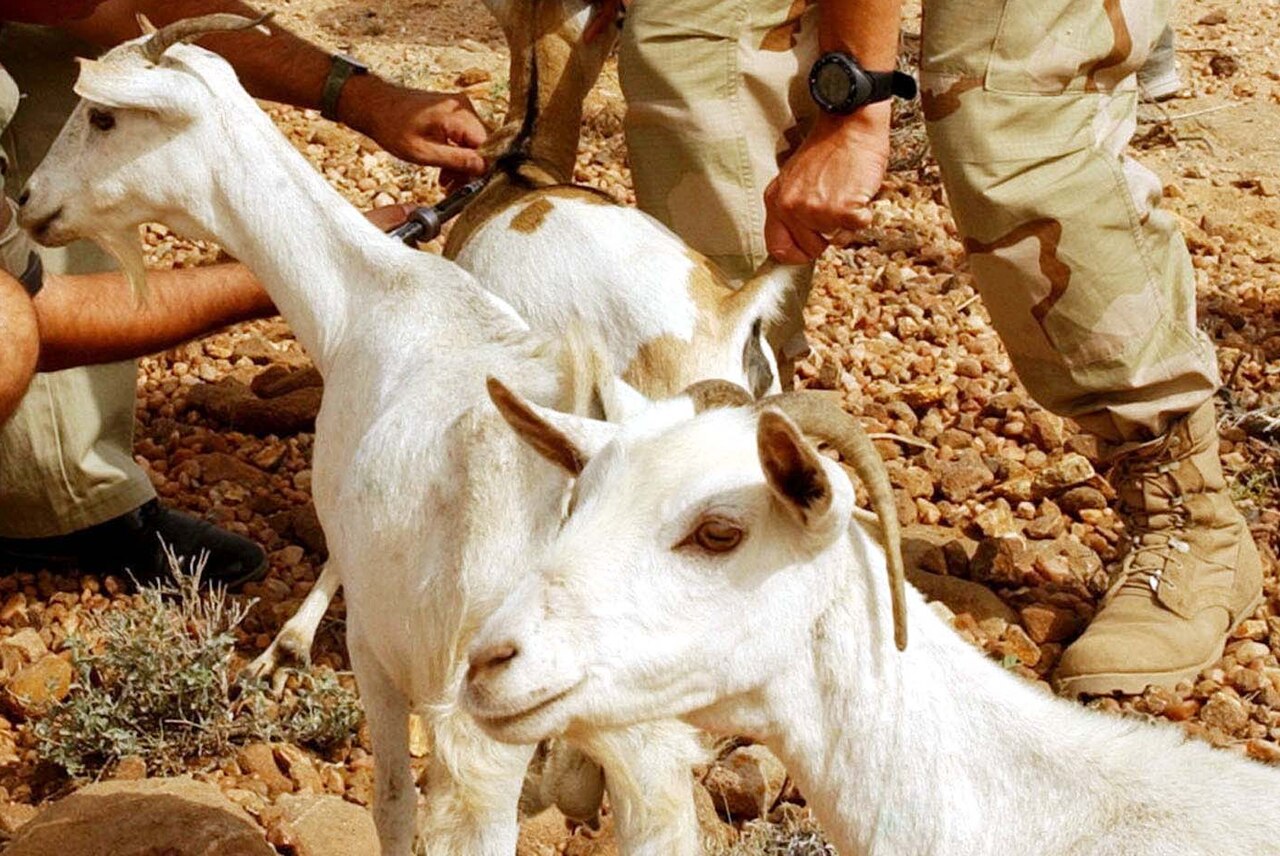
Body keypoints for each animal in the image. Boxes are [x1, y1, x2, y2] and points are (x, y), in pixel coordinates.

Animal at [18, 15, 775, 855]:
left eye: (103, 116)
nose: (28, 200)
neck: (369, 301)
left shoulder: (379, 648)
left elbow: (389, 804)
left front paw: (285, 649)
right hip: (647, 737)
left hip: (486, 729)